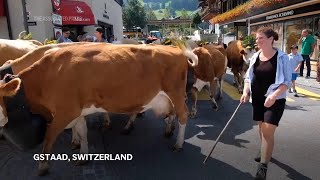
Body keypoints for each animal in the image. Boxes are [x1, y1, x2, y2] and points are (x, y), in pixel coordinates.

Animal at [0, 42, 198, 176]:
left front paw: (42, 167)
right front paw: (82, 155)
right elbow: (82, 131)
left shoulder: (65, 112)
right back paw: (167, 131)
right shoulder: (76, 111)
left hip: (176, 93)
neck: (47, 76)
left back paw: (178, 144)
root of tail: (176, 50)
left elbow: (49, 137)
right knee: (172, 114)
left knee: (183, 115)